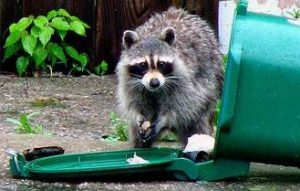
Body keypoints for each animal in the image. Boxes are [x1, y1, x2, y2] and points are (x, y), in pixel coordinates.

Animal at [116, 7, 224, 148]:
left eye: (161, 64)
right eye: (143, 65)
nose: (154, 83)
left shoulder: (185, 80)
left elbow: (181, 106)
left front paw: (163, 120)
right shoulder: (129, 81)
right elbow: (133, 102)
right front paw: (139, 116)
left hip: (211, 80)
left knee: (197, 122)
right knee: (137, 136)